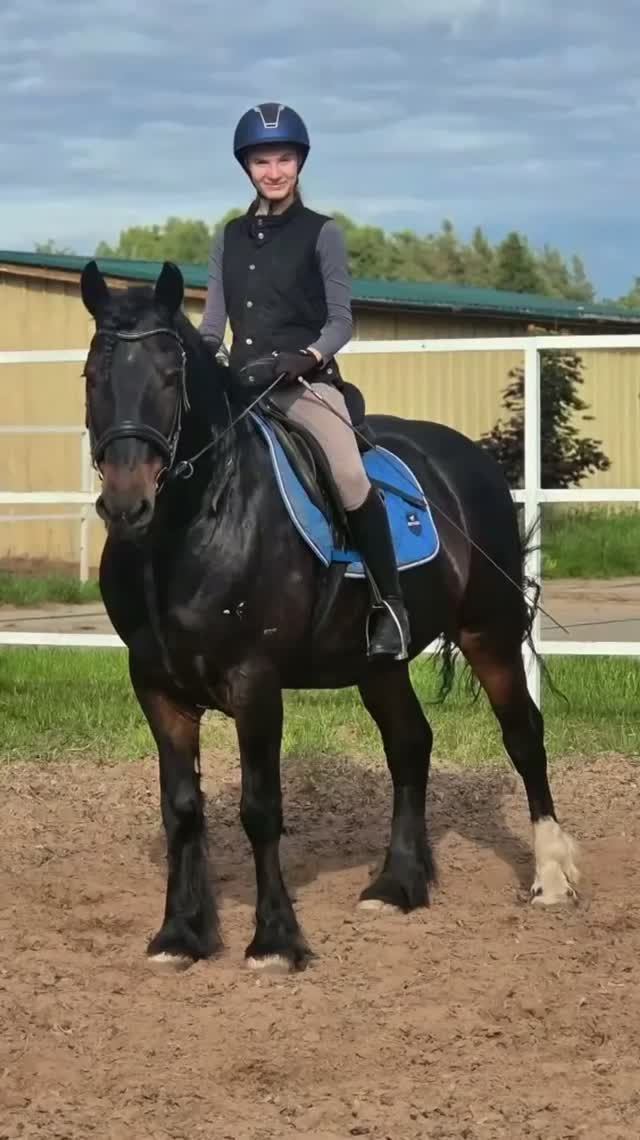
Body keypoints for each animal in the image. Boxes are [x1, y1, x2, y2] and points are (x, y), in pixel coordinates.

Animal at [79, 258, 579, 971]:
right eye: (93, 377)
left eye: (171, 377)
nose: (126, 504)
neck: (192, 529)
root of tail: (470, 458)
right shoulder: (156, 686)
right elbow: (181, 810)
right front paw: (179, 935)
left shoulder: (255, 682)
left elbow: (260, 808)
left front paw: (275, 941)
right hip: (378, 663)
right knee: (410, 744)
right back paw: (398, 885)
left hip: (490, 633)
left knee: (523, 736)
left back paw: (551, 877)